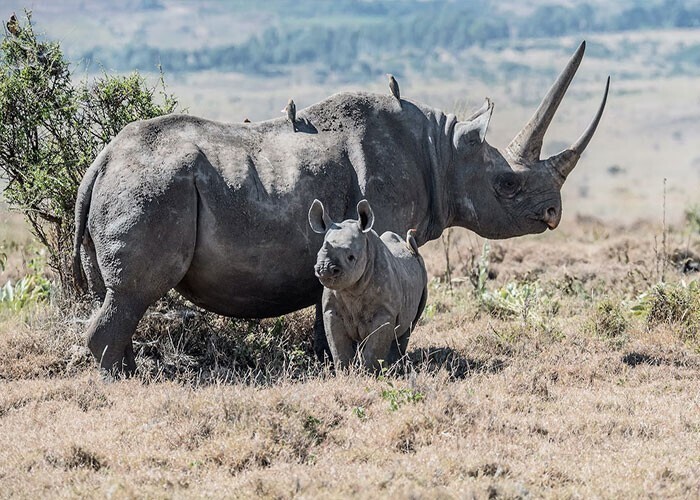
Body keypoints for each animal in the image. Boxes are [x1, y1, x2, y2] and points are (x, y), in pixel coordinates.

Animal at [310, 199, 430, 372]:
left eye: (351, 257)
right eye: (318, 254)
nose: (325, 269)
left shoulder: (385, 312)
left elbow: (374, 348)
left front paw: (369, 373)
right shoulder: (331, 310)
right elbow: (338, 346)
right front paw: (344, 372)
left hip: (422, 274)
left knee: (408, 327)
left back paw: (394, 367)